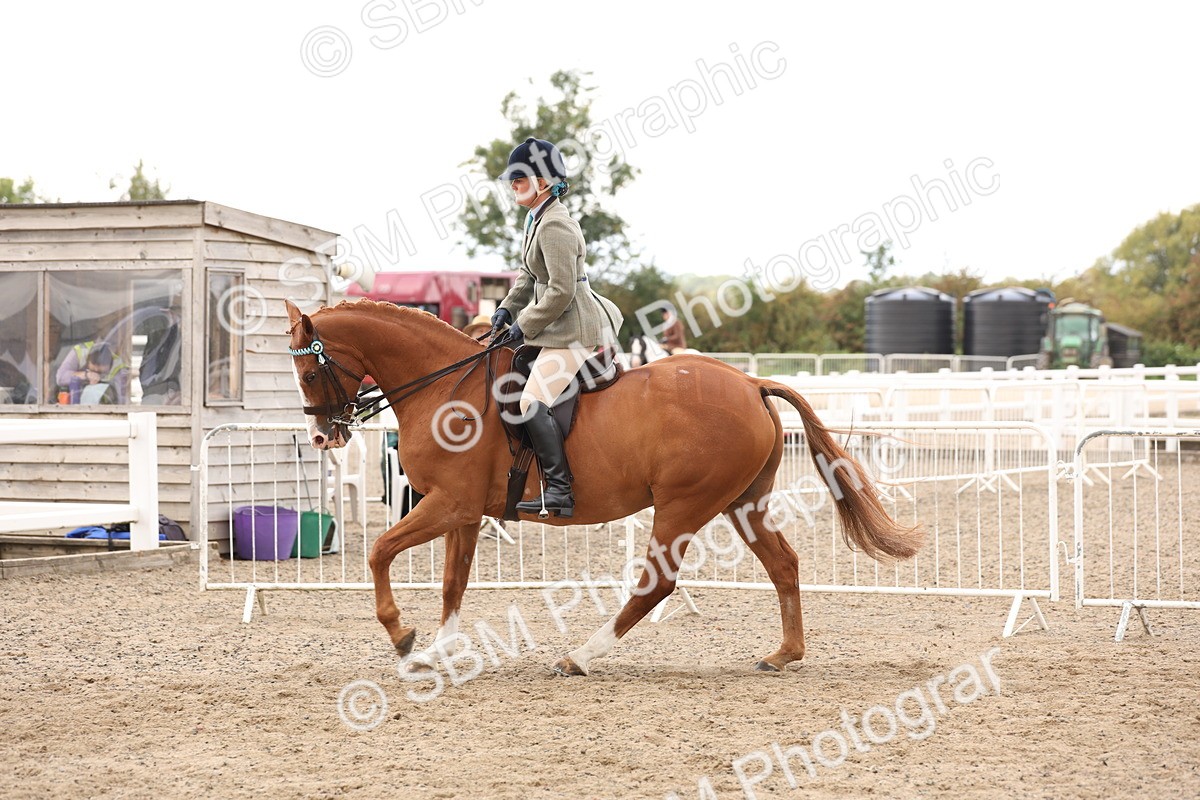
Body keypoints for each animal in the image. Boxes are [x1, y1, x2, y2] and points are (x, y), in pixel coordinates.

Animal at [285, 299, 923, 675]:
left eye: (311, 370)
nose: (321, 436)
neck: (446, 390)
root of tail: (748, 382)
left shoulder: (448, 504)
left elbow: (378, 551)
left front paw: (402, 634)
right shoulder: (463, 512)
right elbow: (452, 583)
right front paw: (437, 650)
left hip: (684, 506)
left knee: (656, 583)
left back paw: (581, 656)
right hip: (741, 502)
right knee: (783, 564)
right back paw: (784, 654)